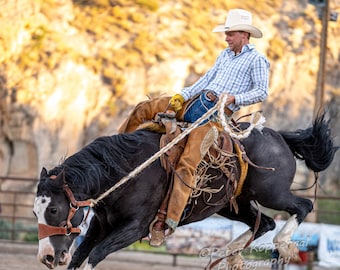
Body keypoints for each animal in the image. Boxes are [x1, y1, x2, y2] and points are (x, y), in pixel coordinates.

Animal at [32, 113, 338, 268]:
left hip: (271, 193)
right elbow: (80, 254)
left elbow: (95, 255)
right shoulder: (100, 223)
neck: (126, 171)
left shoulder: (135, 228)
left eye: (54, 209)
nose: (47, 256)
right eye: (35, 211)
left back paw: (283, 245)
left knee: (302, 207)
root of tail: (279, 137)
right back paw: (228, 254)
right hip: (232, 204)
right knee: (264, 223)